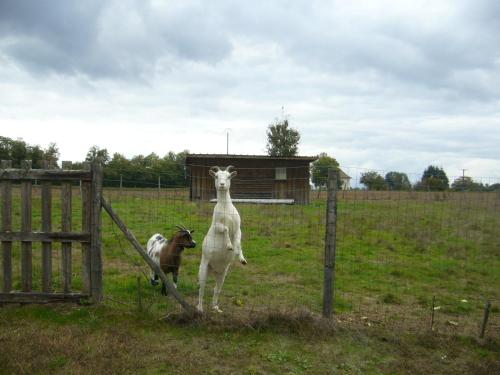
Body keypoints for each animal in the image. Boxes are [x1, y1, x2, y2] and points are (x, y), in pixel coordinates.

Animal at [197, 166, 248, 312]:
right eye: (216, 176)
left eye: (228, 176)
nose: (222, 185)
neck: (226, 209)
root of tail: (213, 270)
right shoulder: (217, 225)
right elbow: (225, 229)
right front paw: (229, 246)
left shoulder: (238, 227)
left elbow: (238, 241)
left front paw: (241, 257)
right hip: (203, 269)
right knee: (201, 289)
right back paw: (200, 309)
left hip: (222, 273)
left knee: (216, 289)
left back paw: (215, 308)